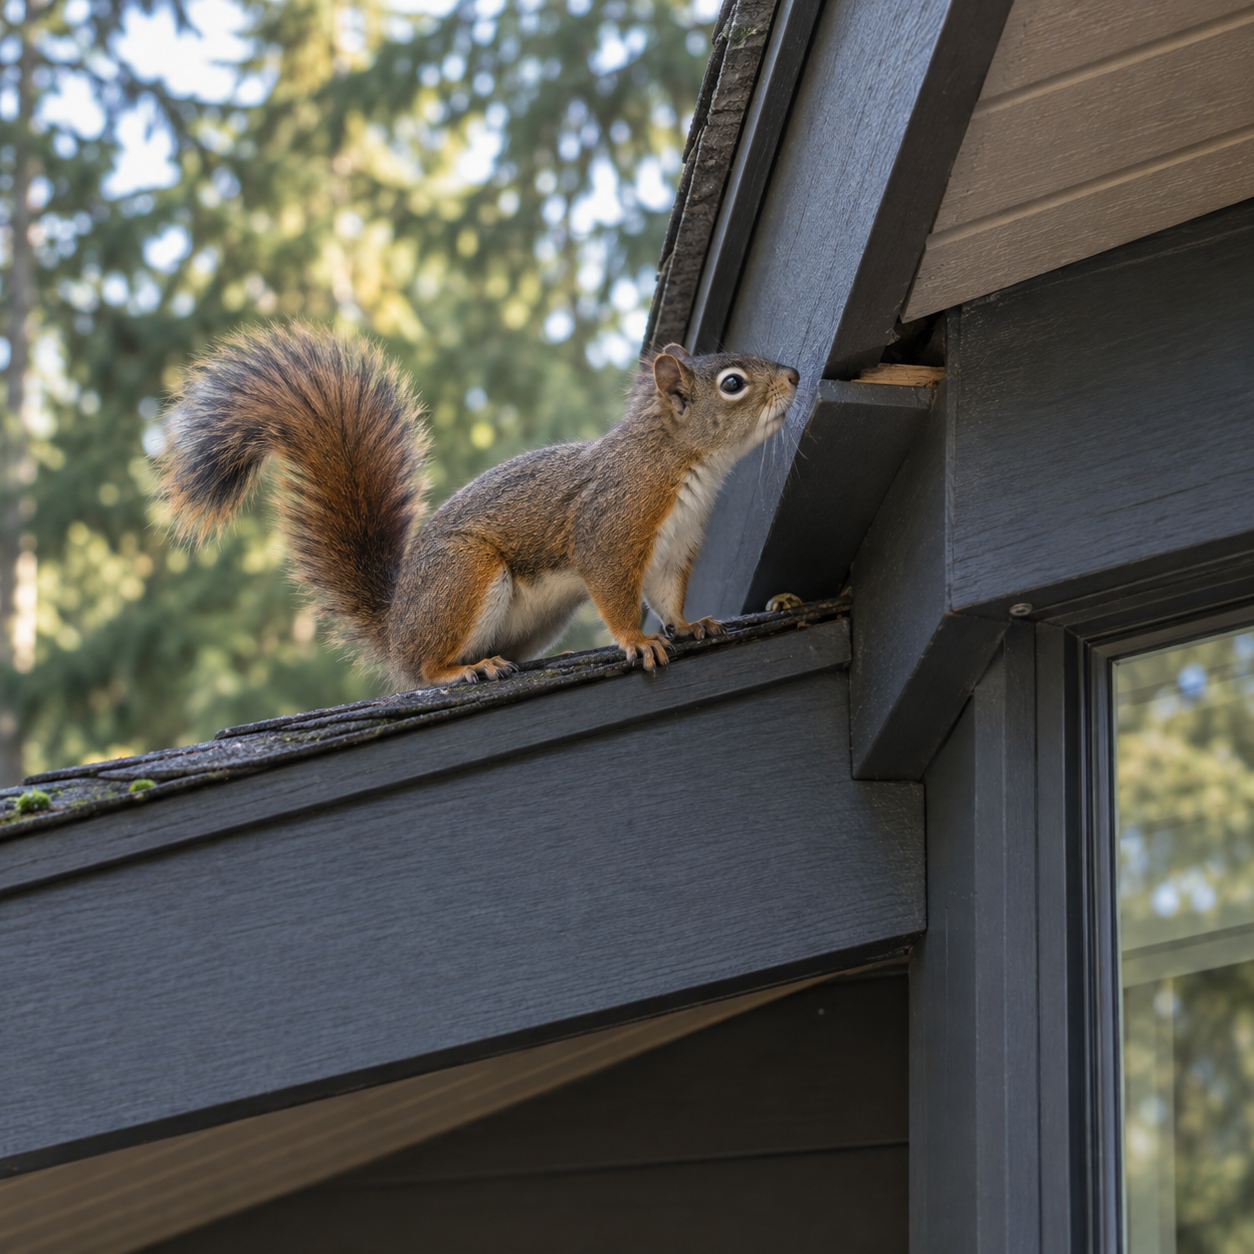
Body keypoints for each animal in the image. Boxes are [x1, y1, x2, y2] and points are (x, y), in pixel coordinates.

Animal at [158, 324, 800, 688]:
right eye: (734, 384)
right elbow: (615, 591)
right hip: (464, 574)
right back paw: (469, 667)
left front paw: (691, 626)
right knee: (423, 672)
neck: (680, 461)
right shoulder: (612, 526)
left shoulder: (674, 549)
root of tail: (397, 628)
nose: (795, 374)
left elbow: (668, 598)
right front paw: (638, 642)